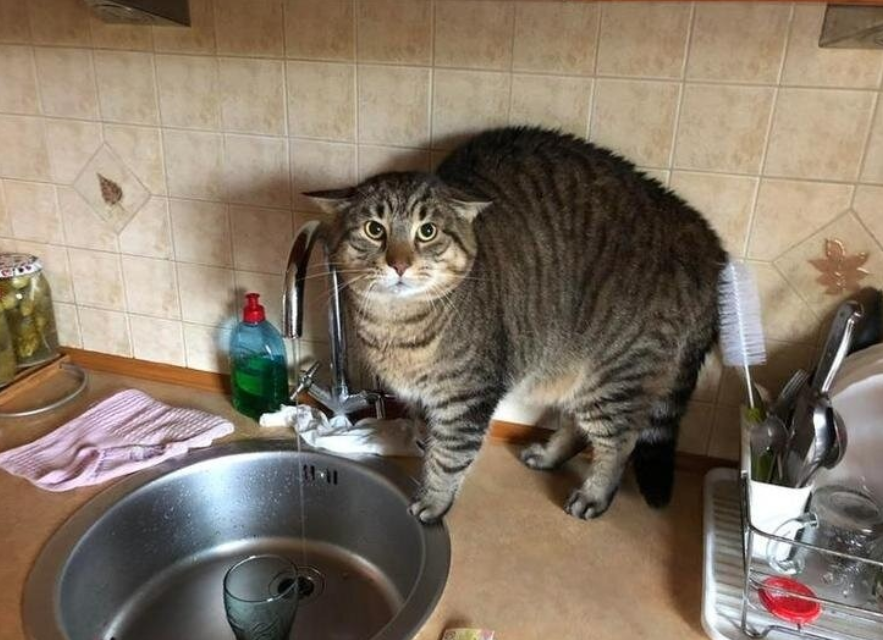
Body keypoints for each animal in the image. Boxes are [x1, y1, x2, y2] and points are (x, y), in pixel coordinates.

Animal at [307, 127, 727, 523]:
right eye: (374, 229)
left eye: (427, 231)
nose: (398, 264)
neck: (396, 322)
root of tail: (703, 237)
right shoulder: (419, 397)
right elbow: (427, 435)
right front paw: (423, 453)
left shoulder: (467, 395)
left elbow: (450, 455)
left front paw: (434, 500)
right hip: (581, 370)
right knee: (577, 425)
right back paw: (549, 455)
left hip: (615, 372)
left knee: (621, 441)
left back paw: (595, 494)